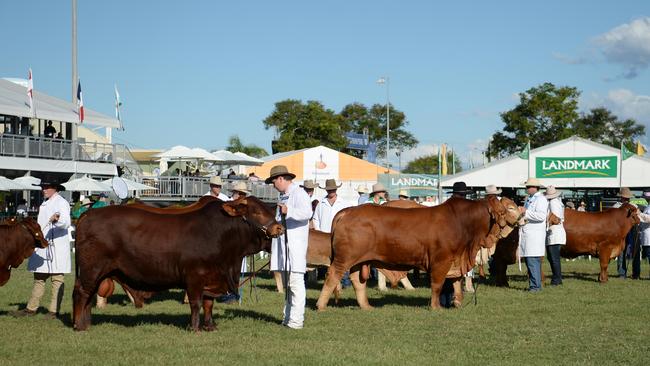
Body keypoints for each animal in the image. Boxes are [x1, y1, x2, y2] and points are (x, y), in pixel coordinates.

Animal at [316, 196, 520, 310]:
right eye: (506, 209)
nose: (522, 218)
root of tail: (347, 211)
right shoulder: (441, 261)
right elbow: (437, 285)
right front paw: (436, 307)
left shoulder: (455, 261)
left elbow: (456, 283)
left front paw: (458, 303)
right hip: (343, 259)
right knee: (331, 276)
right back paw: (321, 306)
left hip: (358, 261)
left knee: (357, 281)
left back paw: (366, 307)